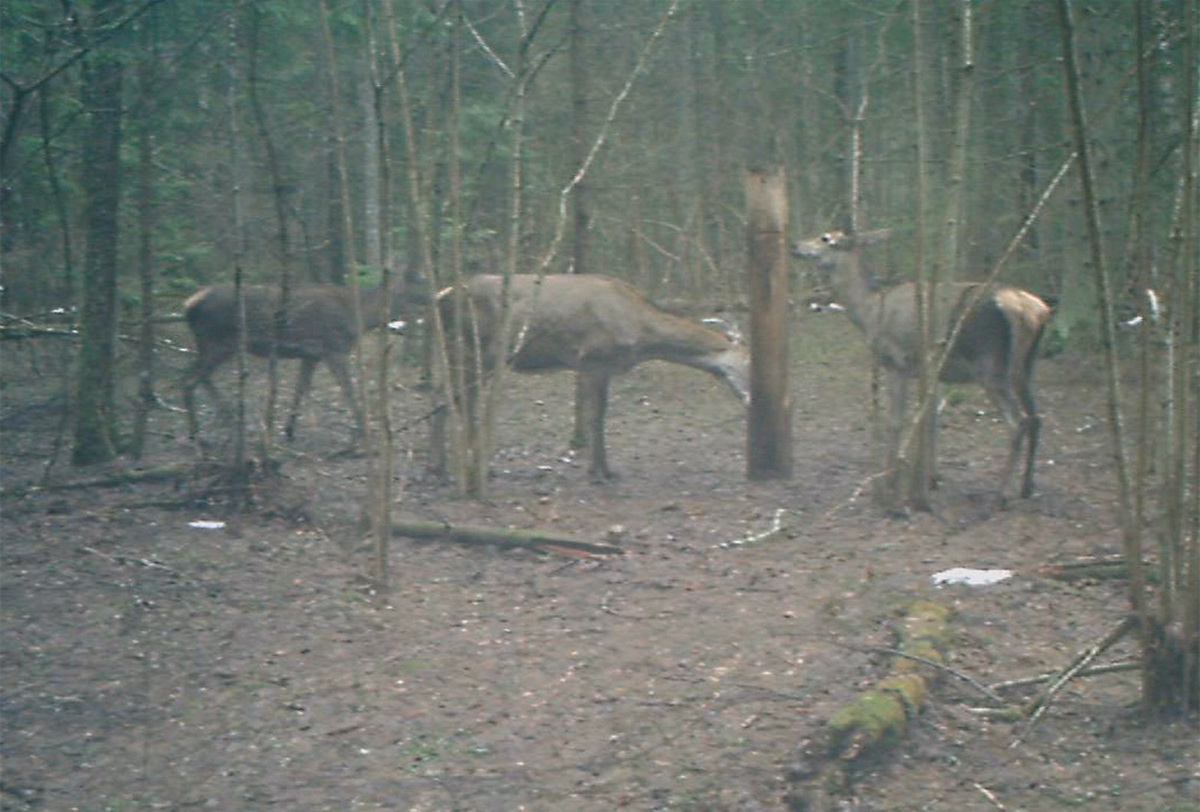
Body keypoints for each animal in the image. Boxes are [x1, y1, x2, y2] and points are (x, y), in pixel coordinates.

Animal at [182, 268, 432, 443]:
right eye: (420, 281)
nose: (435, 295)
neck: (359, 317)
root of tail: (188, 305)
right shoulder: (334, 349)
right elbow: (348, 389)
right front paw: (364, 429)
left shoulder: (311, 355)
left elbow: (300, 388)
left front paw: (289, 429)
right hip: (219, 342)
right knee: (191, 379)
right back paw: (205, 428)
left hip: (211, 345)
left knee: (192, 377)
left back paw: (215, 422)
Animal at [432, 272, 748, 477]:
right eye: (748, 362)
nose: (750, 400)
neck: (641, 335)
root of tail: (441, 296)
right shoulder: (594, 359)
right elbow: (596, 415)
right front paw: (599, 471)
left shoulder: (600, 367)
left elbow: (599, 414)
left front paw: (604, 468)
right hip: (472, 350)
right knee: (462, 401)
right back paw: (470, 465)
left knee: (443, 397)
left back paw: (438, 466)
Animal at [792, 226, 1056, 494]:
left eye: (826, 239)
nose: (795, 246)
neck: (870, 312)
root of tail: (1033, 311)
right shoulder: (933, 371)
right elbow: (932, 419)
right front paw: (931, 477)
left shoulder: (897, 361)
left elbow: (896, 421)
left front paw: (891, 479)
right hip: (1025, 367)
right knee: (1036, 418)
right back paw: (1027, 486)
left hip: (989, 365)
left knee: (1018, 421)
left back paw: (1002, 492)